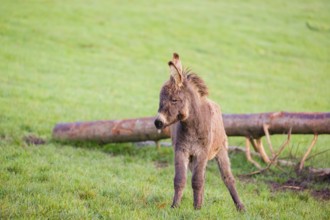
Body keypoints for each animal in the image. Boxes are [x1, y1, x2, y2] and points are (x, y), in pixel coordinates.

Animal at [155, 53, 245, 211]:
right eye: (160, 99)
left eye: (174, 100)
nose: (158, 122)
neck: (191, 126)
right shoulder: (181, 151)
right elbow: (180, 179)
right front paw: (175, 206)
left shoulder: (202, 152)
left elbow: (197, 181)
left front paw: (196, 209)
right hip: (192, 158)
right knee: (200, 176)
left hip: (220, 151)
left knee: (227, 178)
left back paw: (240, 207)